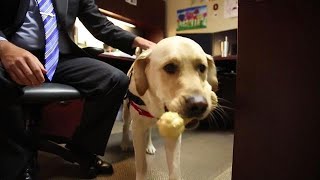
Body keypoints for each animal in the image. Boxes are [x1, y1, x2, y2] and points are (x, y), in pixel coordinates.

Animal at [121, 35, 219, 179]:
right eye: (170, 67)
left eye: (202, 67)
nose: (199, 105)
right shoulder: (137, 127)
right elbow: (141, 165)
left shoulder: (174, 134)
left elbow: (175, 170)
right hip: (126, 111)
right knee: (125, 126)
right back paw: (124, 143)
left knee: (148, 131)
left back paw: (149, 145)